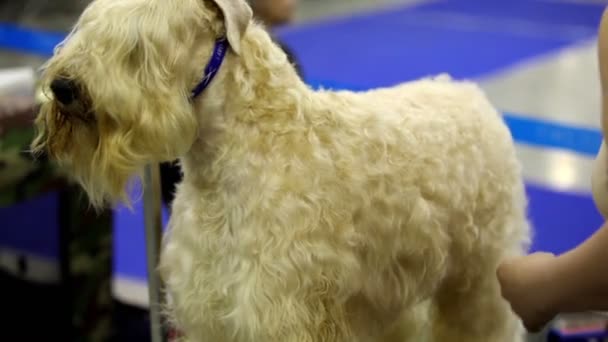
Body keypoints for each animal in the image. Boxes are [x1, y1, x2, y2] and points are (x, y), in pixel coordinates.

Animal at [30, 0, 528, 340]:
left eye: (138, 44)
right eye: (85, 26)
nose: (64, 87)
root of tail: (471, 95)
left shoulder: (279, 309)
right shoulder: (209, 309)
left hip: (478, 280)